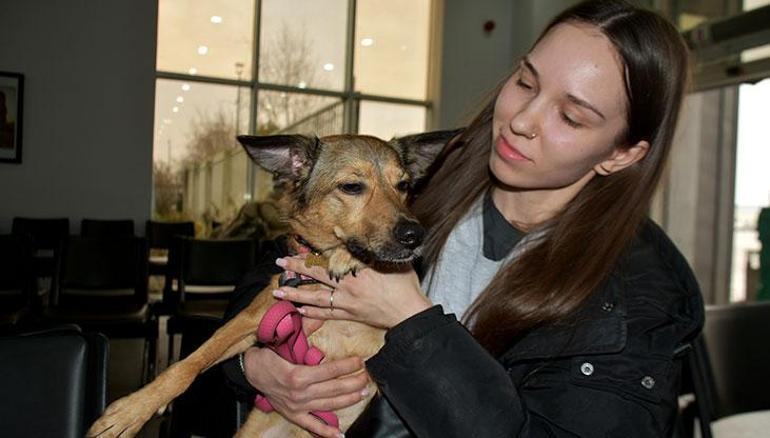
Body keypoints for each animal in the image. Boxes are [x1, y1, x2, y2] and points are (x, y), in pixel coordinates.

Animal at [85, 131, 456, 438]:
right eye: (352, 187)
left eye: (404, 185)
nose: (415, 235)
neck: (317, 268)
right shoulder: (253, 319)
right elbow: (189, 363)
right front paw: (133, 410)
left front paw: (348, 257)